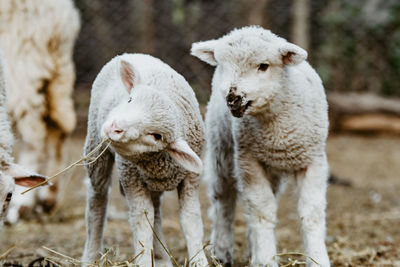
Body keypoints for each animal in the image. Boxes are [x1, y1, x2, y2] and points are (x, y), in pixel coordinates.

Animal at [80, 53, 208, 266]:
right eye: (130, 99)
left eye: (156, 136)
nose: (114, 127)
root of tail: (131, 54)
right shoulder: (132, 178)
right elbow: (142, 221)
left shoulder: (191, 179)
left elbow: (190, 218)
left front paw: (199, 260)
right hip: (95, 147)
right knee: (97, 200)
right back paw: (90, 256)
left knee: (155, 212)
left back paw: (161, 257)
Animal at [192, 25, 330, 267]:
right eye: (223, 65)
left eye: (263, 66)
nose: (233, 97)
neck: (277, 130)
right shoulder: (248, 161)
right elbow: (261, 212)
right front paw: (265, 258)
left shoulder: (313, 160)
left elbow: (311, 213)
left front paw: (318, 258)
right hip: (222, 149)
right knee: (223, 201)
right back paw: (222, 251)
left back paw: (251, 248)